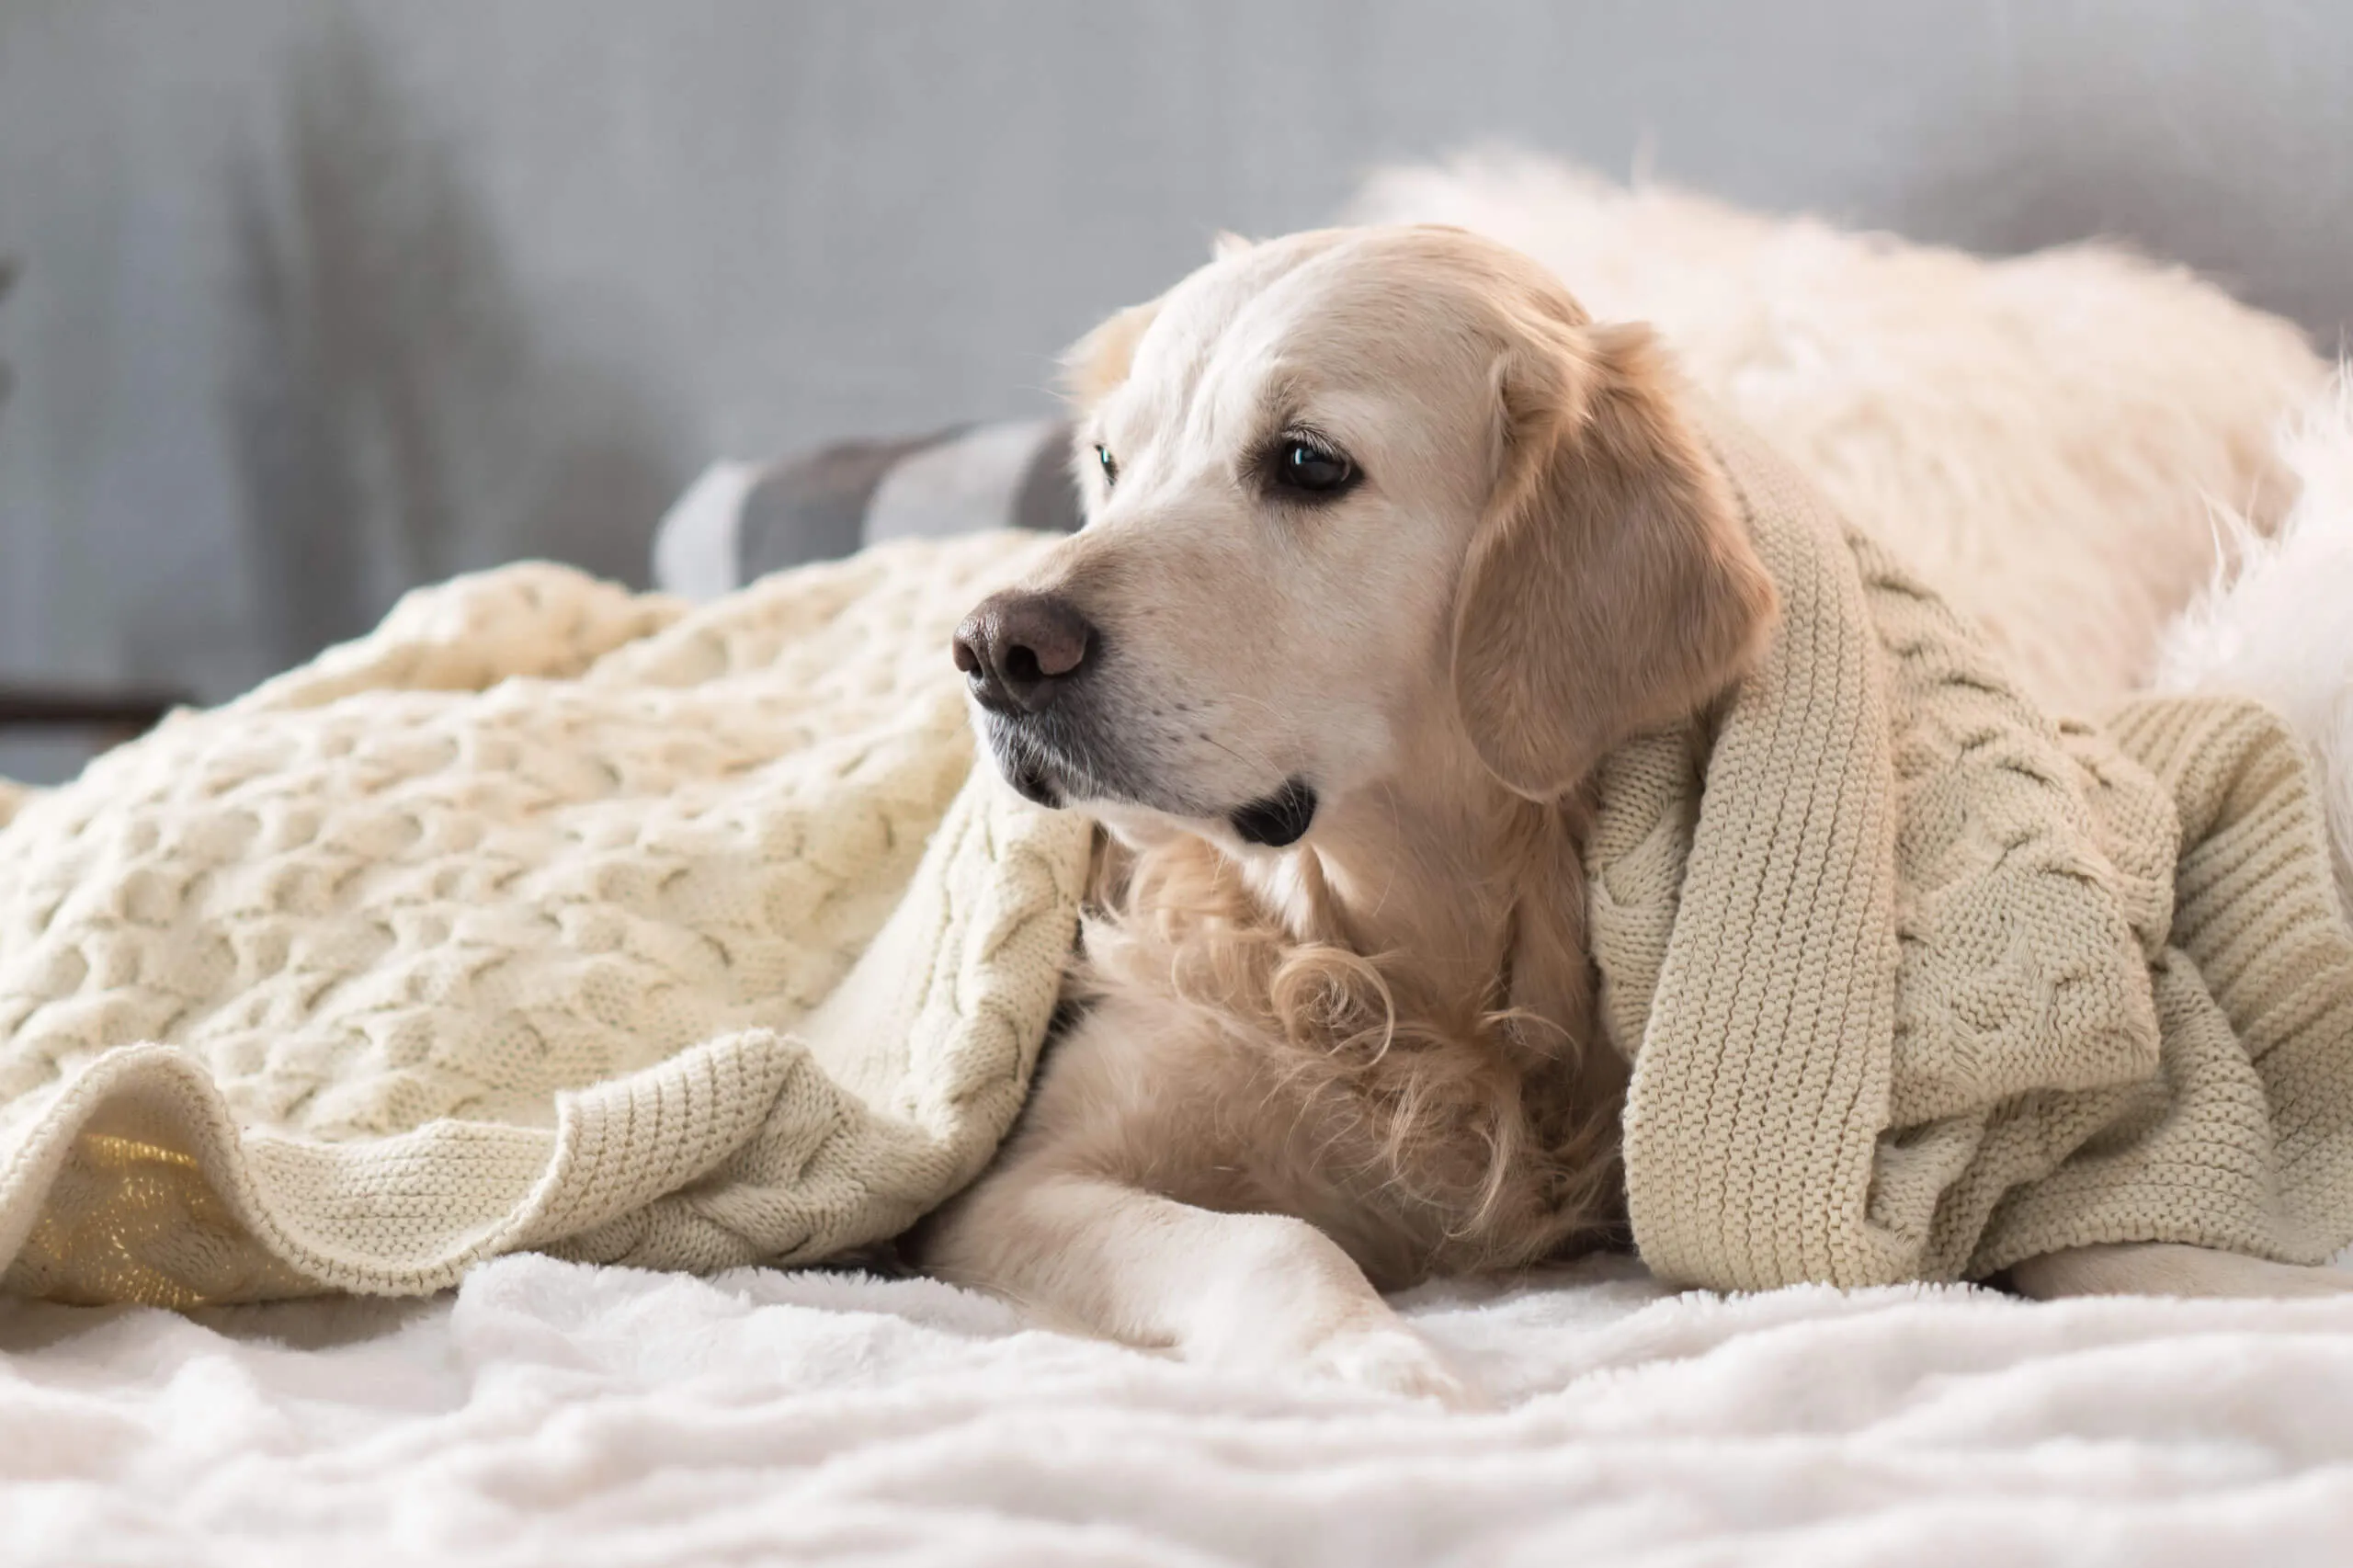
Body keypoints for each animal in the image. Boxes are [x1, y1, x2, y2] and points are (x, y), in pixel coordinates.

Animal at [904, 222, 2353, 1403]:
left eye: (1307, 462)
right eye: (1110, 461)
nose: (993, 646)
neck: (1432, 954)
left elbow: (2101, 1233)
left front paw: (2272, 1292)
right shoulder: (1010, 1189)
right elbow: (1273, 1236)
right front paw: (1373, 1357)